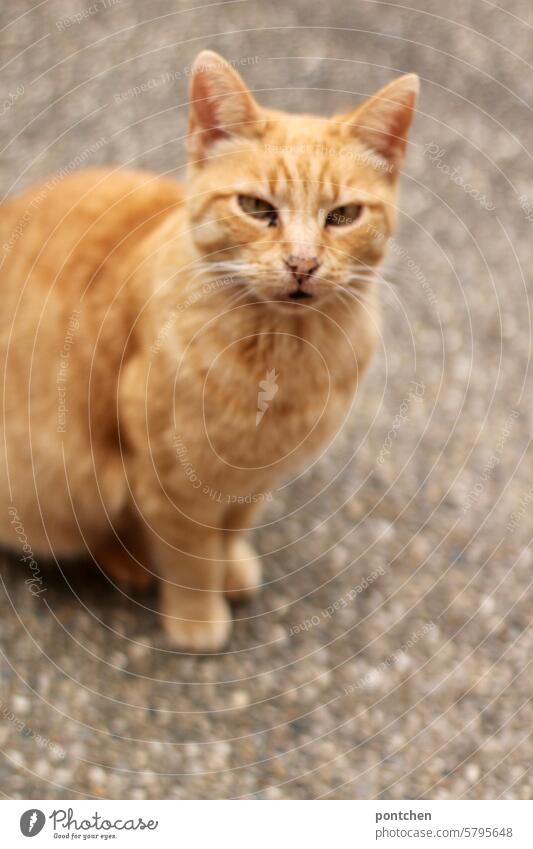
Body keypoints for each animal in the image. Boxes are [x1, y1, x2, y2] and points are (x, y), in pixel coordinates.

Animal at [0, 53, 416, 648]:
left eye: (342, 216)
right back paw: (129, 563)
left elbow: (231, 528)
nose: (303, 263)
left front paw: (232, 568)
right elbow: (191, 556)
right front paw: (198, 619)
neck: (280, 360)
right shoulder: (171, 474)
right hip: (53, 487)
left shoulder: (257, 474)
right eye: (257, 208)